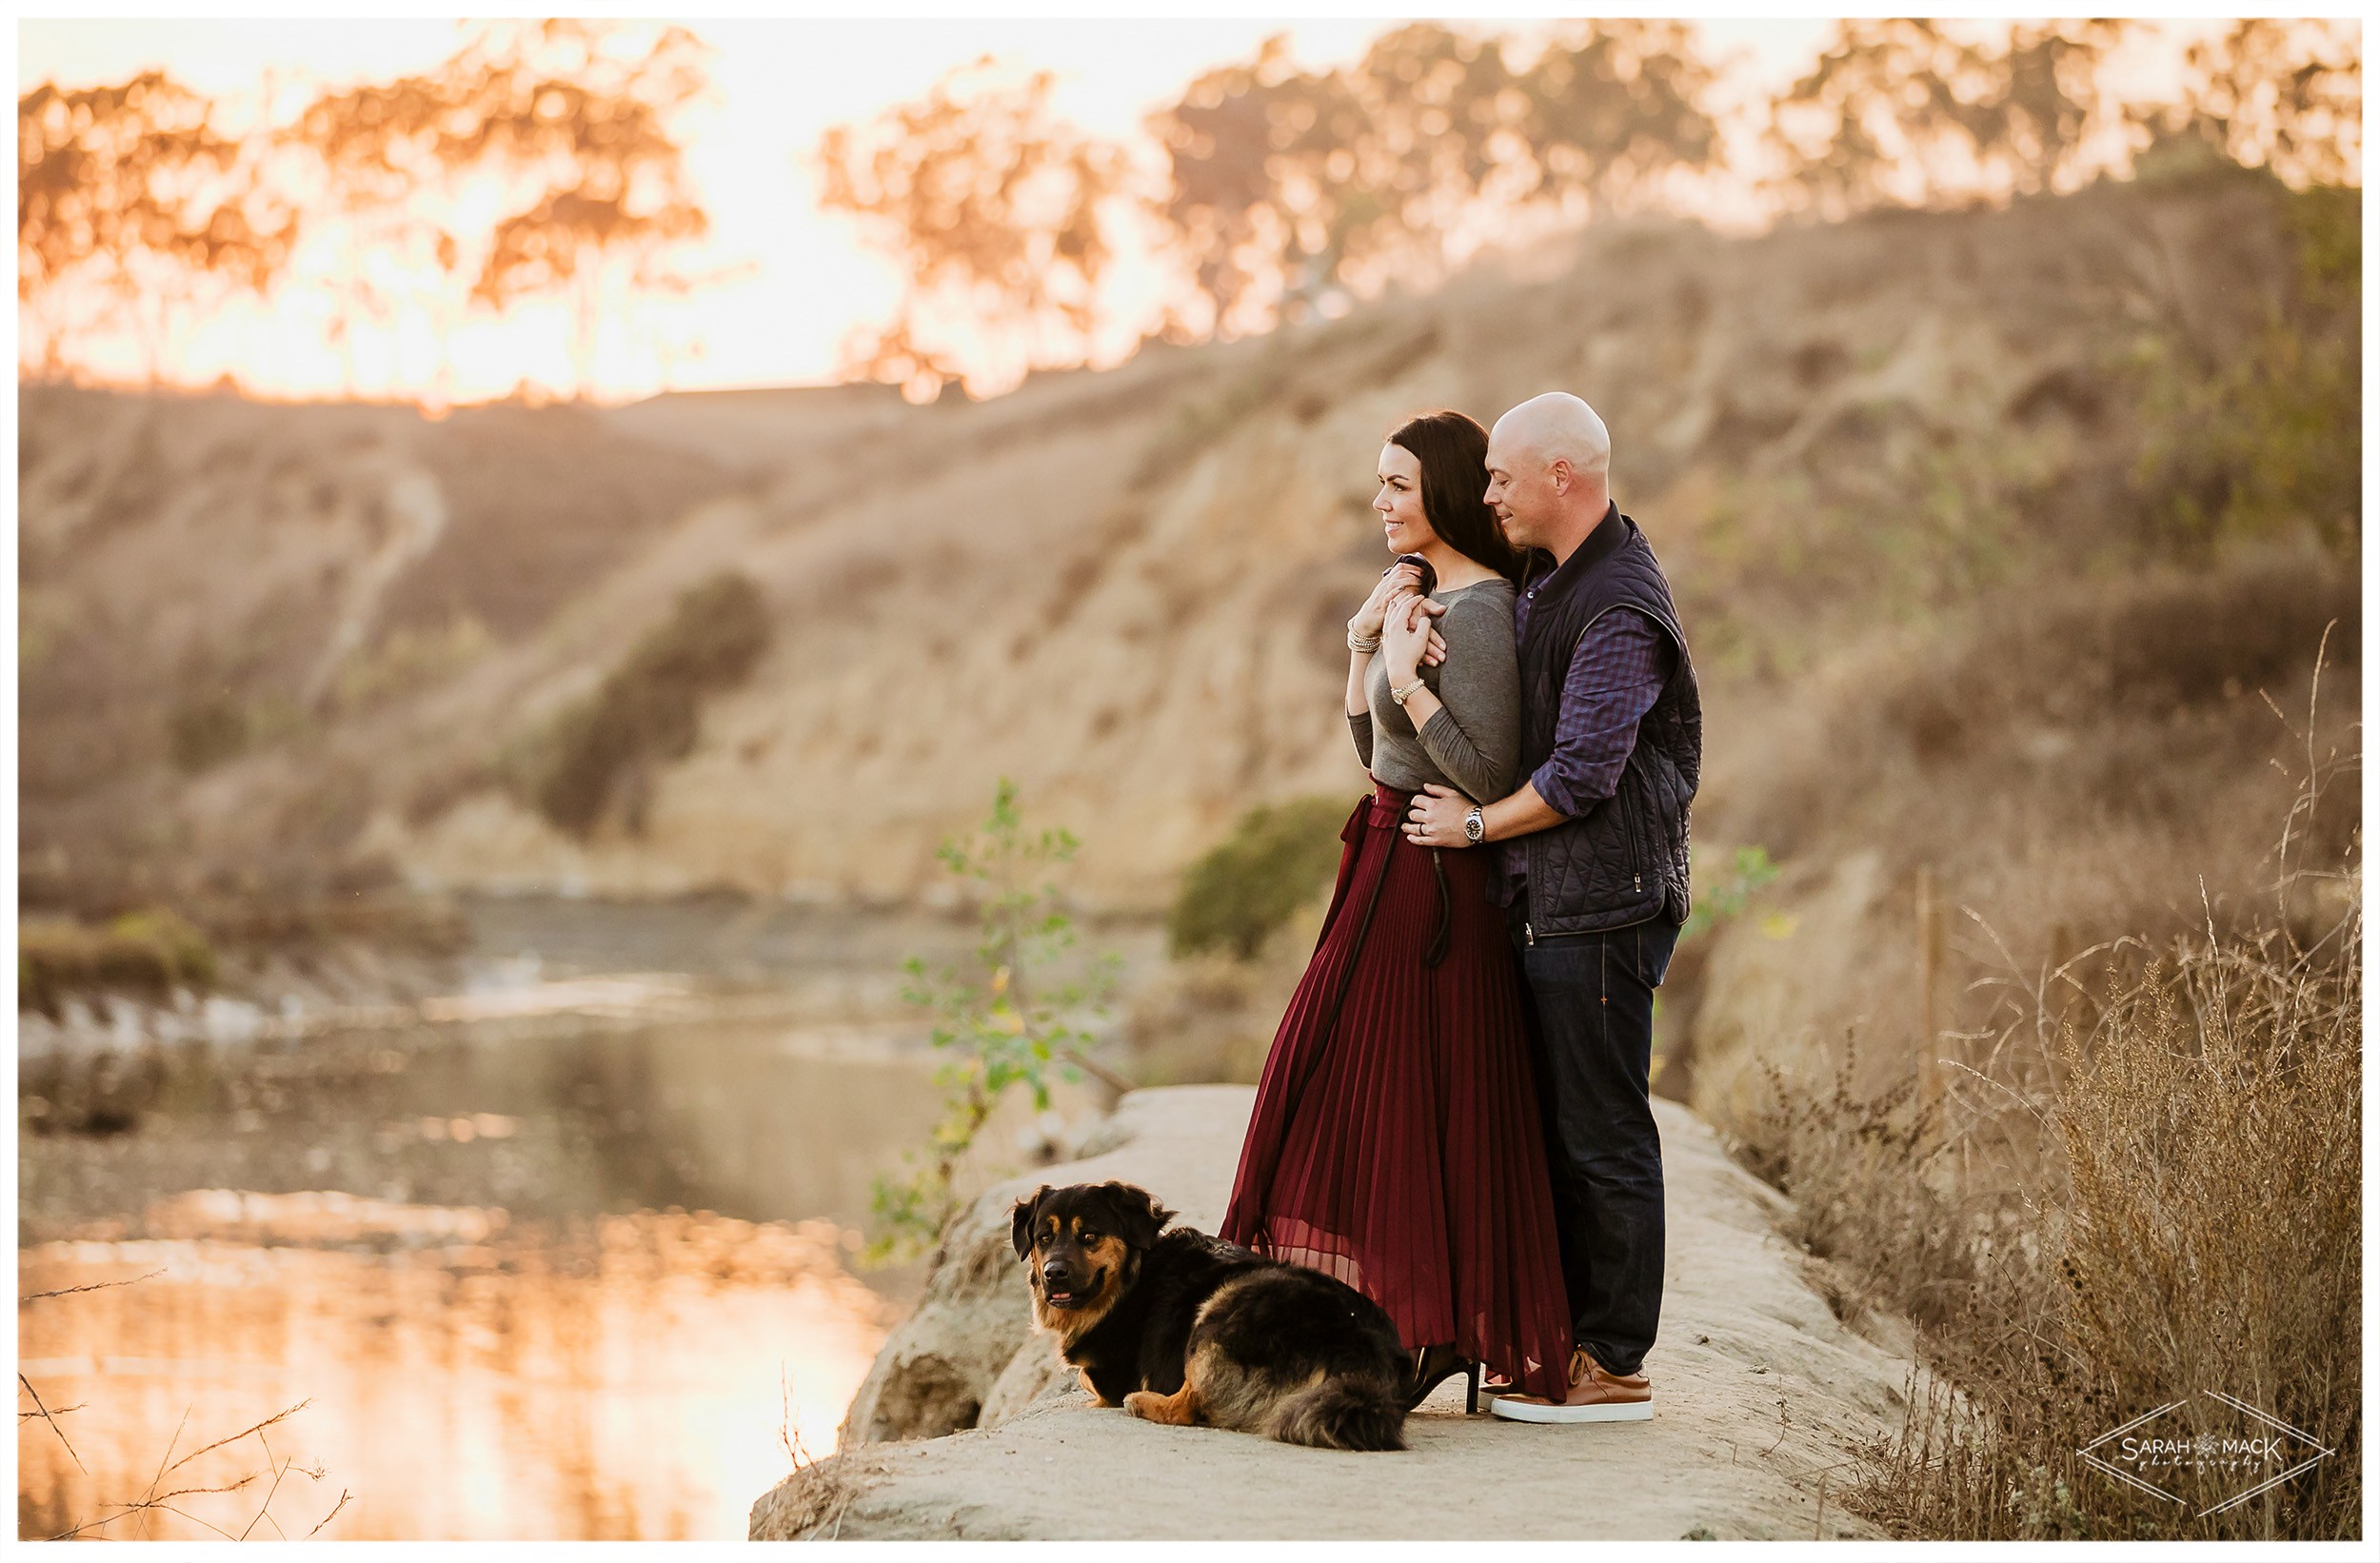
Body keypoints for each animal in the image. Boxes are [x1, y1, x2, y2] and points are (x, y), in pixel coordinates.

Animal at [1009, 1184, 1409, 1446]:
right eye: (1044, 1238)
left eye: (1090, 1236)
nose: (1054, 1274)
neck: (1131, 1278)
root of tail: (1360, 1353)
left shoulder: (1110, 1372)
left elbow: (1085, 1378)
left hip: (1225, 1305)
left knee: (1190, 1404)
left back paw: (1143, 1401)